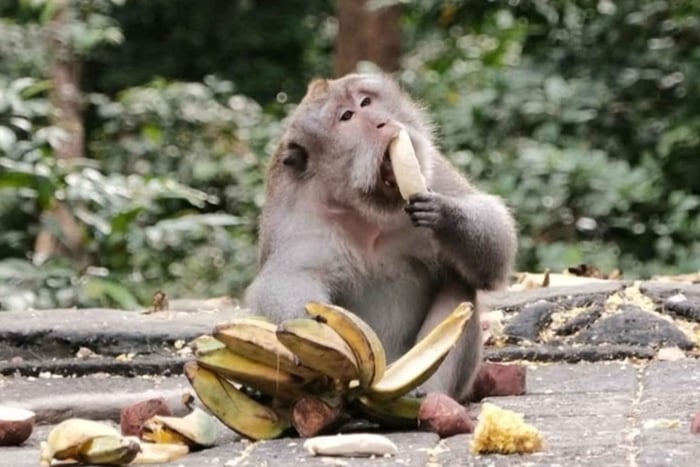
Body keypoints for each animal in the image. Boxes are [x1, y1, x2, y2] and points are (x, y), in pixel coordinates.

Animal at [243, 73, 517, 403]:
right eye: (347, 117)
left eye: (366, 102)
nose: (382, 123)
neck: (366, 210)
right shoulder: (296, 216)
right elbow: (287, 277)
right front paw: (316, 328)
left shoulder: (432, 171)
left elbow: (495, 241)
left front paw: (445, 214)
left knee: (458, 285)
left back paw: (426, 393)